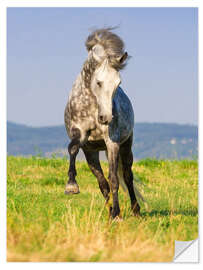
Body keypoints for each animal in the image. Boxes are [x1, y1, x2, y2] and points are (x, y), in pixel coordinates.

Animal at [64, 28, 142, 219]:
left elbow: (114, 180)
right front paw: (71, 186)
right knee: (103, 183)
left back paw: (135, 210)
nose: (106, 118)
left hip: (126, 145)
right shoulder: (82, 138)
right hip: (92, 152)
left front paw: (116, 215)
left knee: (127, 176)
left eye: (118, 83)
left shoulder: (112, 143)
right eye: (98, 82)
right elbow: (73, 149)